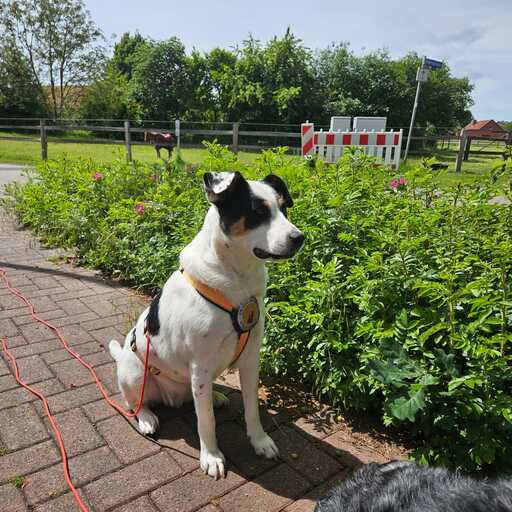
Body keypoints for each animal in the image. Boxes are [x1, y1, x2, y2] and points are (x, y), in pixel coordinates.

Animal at [109, 171, 304, 479]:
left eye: (284, 209)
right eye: (258, 212)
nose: (299, 238)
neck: (237, 282)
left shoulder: (251, 359)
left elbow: (252, 408)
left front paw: (260, 441)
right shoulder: (200, 365)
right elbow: (206, 422)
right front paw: (211, 456)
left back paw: (215, 397)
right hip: (135, 373)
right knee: (135, 403)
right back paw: (148, 417)